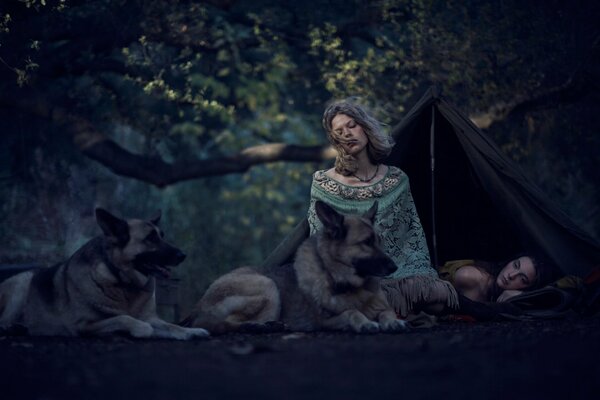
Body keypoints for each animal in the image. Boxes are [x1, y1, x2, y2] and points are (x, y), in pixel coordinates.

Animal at [0, 208, 209, 340]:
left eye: (162, 236)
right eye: (150, 238)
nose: (183, 256)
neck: (124, 282)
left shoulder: (152, 318)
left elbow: (170, 325)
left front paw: (191, 331)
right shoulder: (84, 324)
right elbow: (130, 320)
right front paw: (134, 331)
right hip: (22, 281)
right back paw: (13, 327)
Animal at [183, 200, 408, 334]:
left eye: (379, 241)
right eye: (366, 242)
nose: (394, 267)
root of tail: (198, 306)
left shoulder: (383, 307)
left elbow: (387, 313)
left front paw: (393, 322)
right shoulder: (325, 322)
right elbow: (351, 312)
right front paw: (365, 322)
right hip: (267, 285)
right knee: (221, 324)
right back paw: (256, 326)